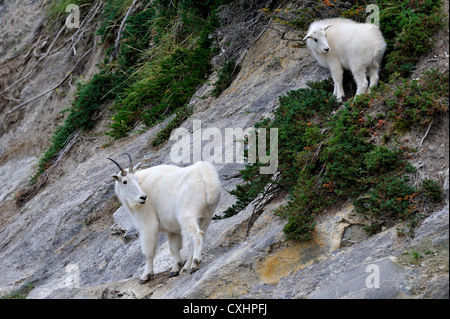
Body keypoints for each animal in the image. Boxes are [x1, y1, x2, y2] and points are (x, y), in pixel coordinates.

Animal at [109, 155, 221, 284]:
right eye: (125, 181)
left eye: (136, 179)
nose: (143, 197)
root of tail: (207, 179)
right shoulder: (171, 229)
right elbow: (173, 247)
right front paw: (175, 269)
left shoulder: (148, 224)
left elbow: (149, 251)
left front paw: (145, 276)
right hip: (207, 215)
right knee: (199, 236)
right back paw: (186, 267)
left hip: (187, 214)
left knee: (197, 235)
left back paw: (195, 264)